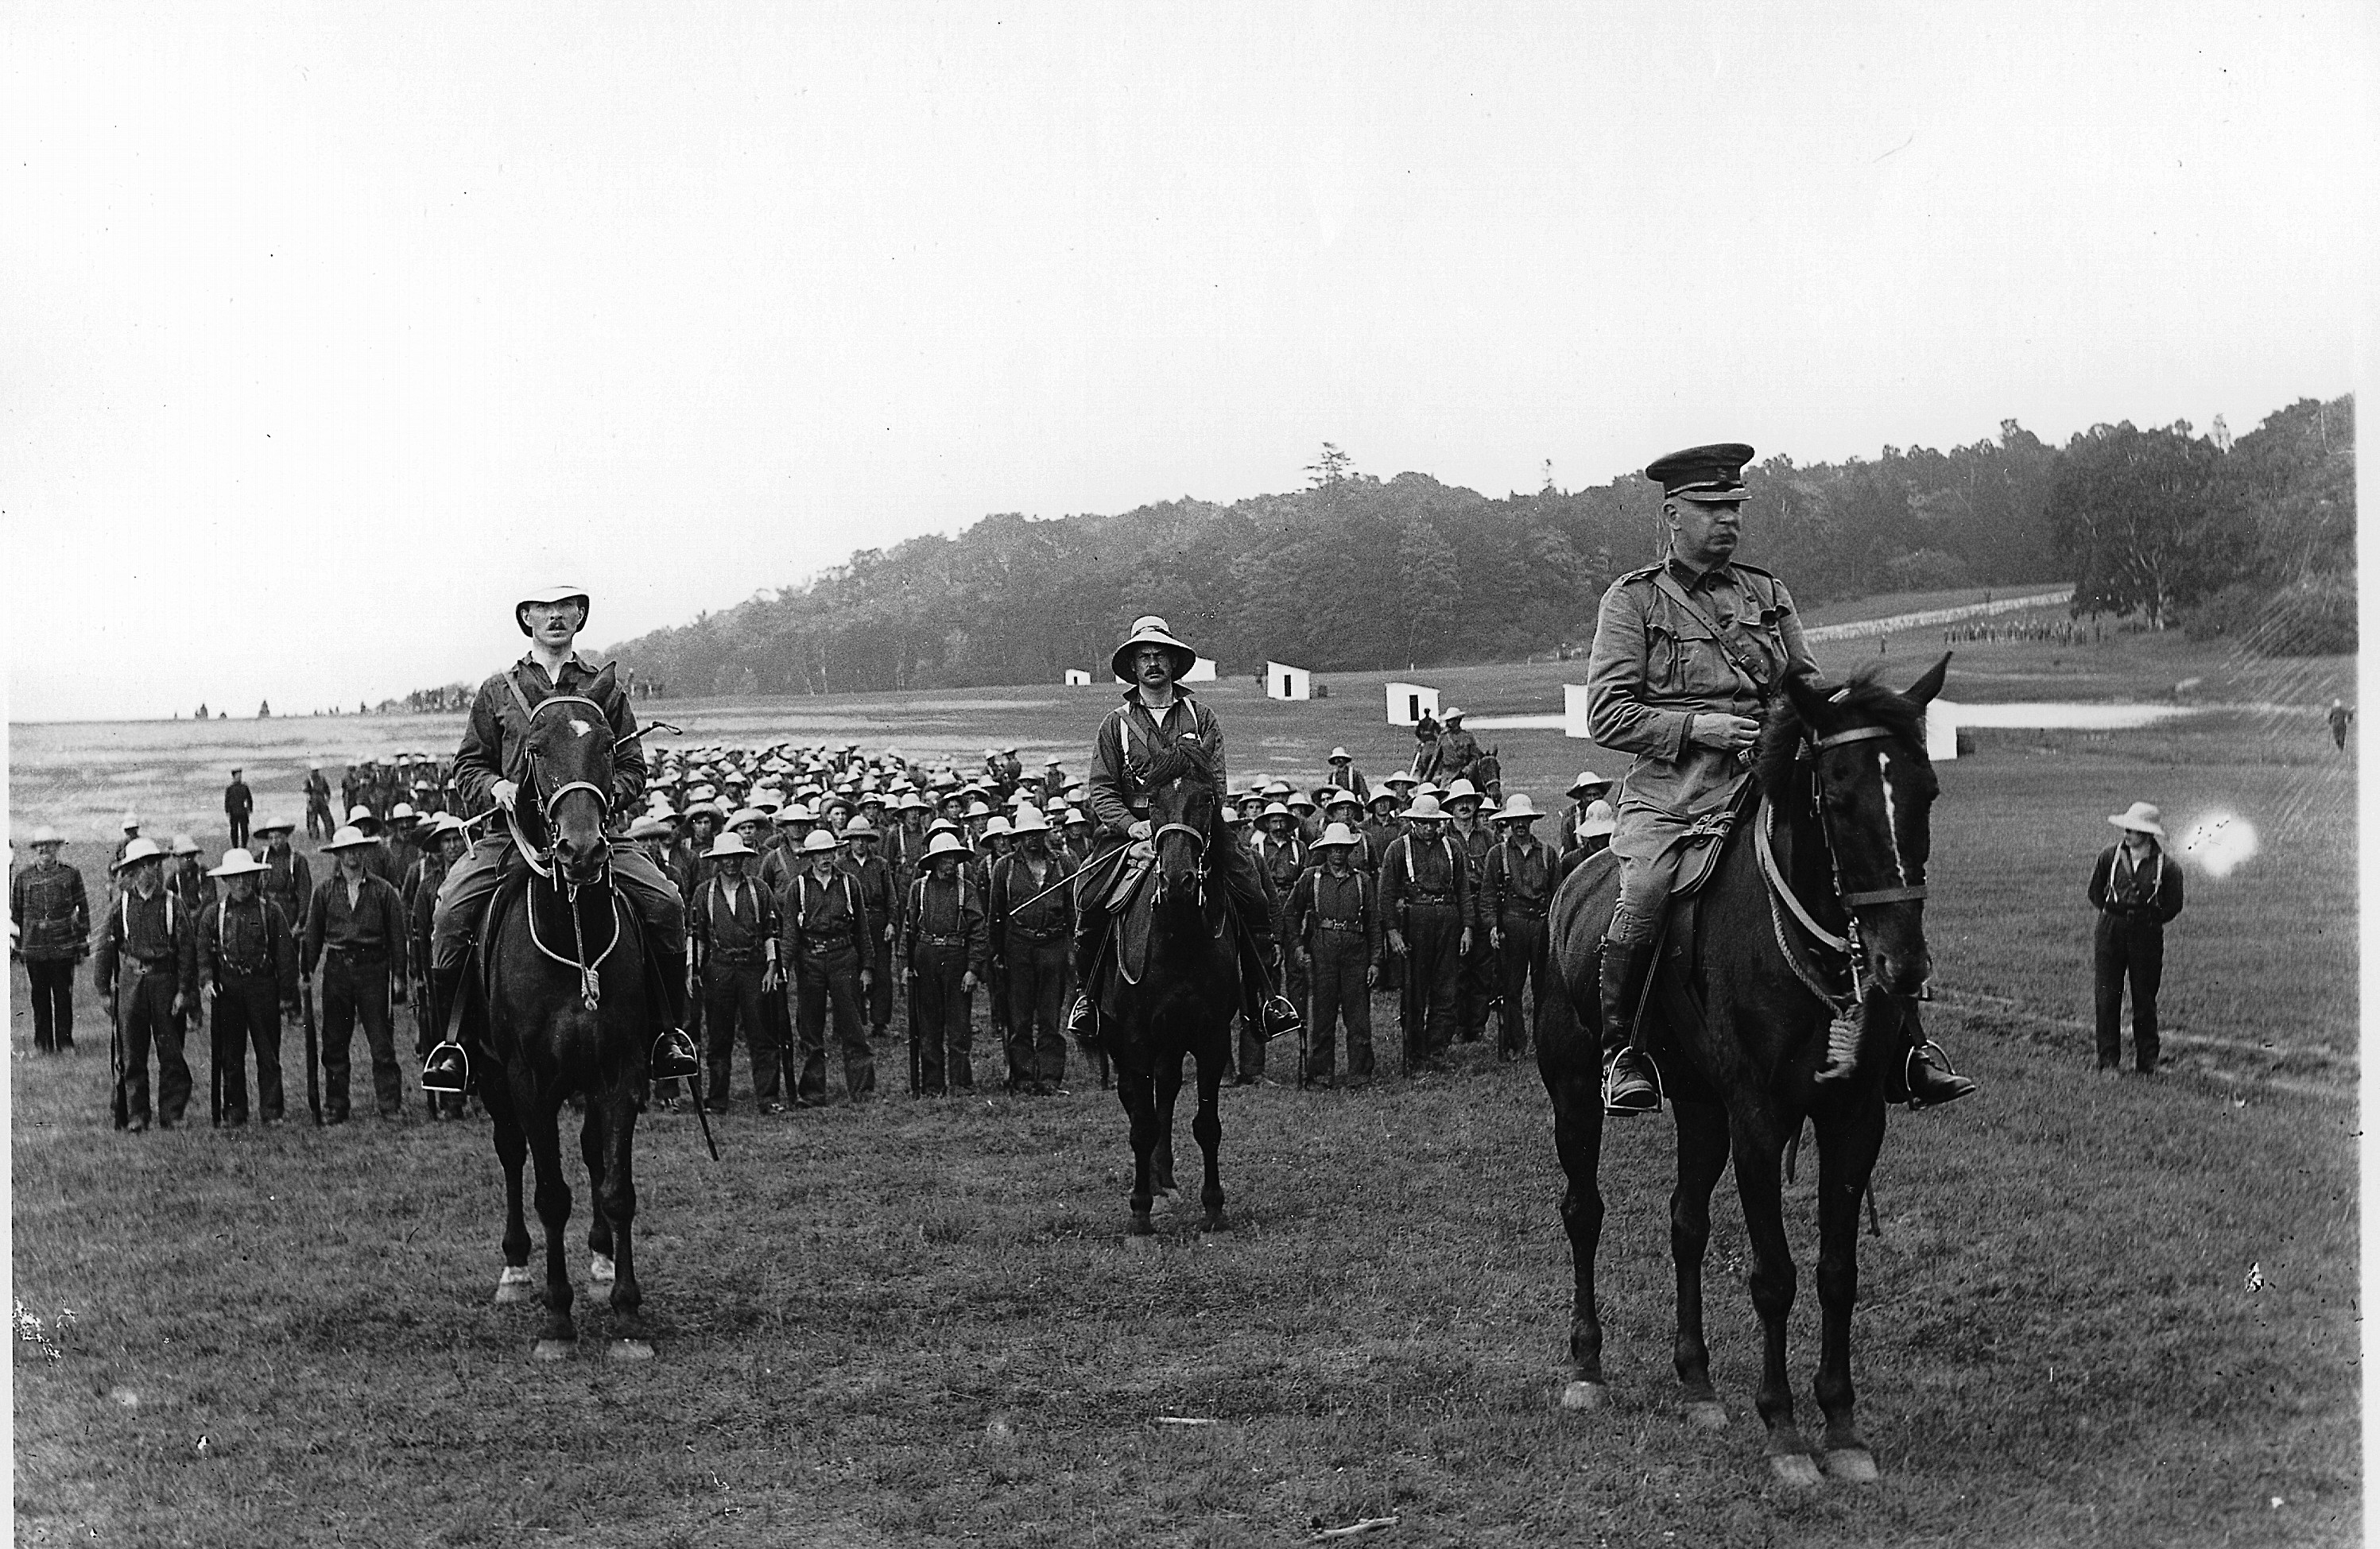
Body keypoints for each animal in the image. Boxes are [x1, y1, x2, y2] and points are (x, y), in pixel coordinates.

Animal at [466, 666, 661, 1361]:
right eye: (536, 748)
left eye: (605, 744)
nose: (580, 851)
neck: (572, 935)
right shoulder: (528, 1079)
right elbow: (550, 1192)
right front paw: (556, 1318)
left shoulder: (621, 1070)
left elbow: (617, 1188)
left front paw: (627, 1312)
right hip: (492, 1077)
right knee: (511, 1153)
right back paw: (516, 1269)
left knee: (594, 1157)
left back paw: (601, 1264)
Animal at [1090, 752, 1246, 1237]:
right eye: (1152, 801)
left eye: (1206, 798)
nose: (1178, 881)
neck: (1177, 941)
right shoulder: (1135, 1039)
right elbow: (1140, 1124)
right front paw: (1140, 1213)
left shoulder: (1211, 1037)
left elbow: (1207, 1124)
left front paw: (1214, 1208)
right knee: (1136, 1098)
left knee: (1167, 1088)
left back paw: (1165, 1178)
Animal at [1533, 661, 1942, 1485]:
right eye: (1839, 796)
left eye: (1928, 790)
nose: (1902, 965)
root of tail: (1574, 881)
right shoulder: (1758, 1117)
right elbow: (1774, 1273)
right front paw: (1783, 1430)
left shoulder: (1854, 1115)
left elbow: (1837, 1271)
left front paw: (1841, 1425)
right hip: (1575, 1092)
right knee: (1583, 1210)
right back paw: (1587, 1368)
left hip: (1698, 1104)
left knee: (1685, 1221)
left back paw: (1697, 1383)